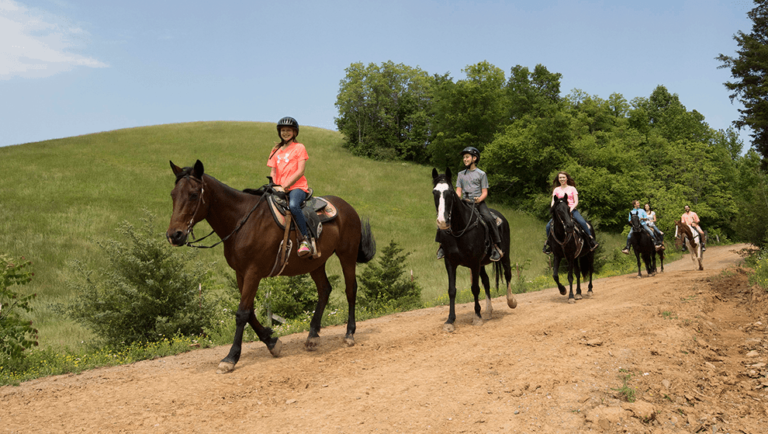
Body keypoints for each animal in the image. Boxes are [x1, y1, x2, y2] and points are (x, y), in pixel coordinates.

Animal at [166, 161, 376, 374]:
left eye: (193, 194)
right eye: (173, 195)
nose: (174, 235)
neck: (243, 221)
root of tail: (347, 207)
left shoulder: (253, 272)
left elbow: (242, 313)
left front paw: (231, 357)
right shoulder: (241, 273)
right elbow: (249, 311)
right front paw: (272, 342)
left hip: (347, 256)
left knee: (350, 290)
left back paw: (349, 334)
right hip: (316, 262)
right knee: (324, 290)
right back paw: (312, 336)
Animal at [432, 168, 516, 330]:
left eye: (450, 192)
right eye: (434, 192)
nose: (442, 222)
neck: (460, 230)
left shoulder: (474, 263)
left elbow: (475, 288)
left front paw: (477, 317)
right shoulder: (450, 262)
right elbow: (452, 290)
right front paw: (450, 321)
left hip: (505, 255)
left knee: (508, 274)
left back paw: (511, 301)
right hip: (482, 264)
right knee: (487, 281)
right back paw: (488, 311)